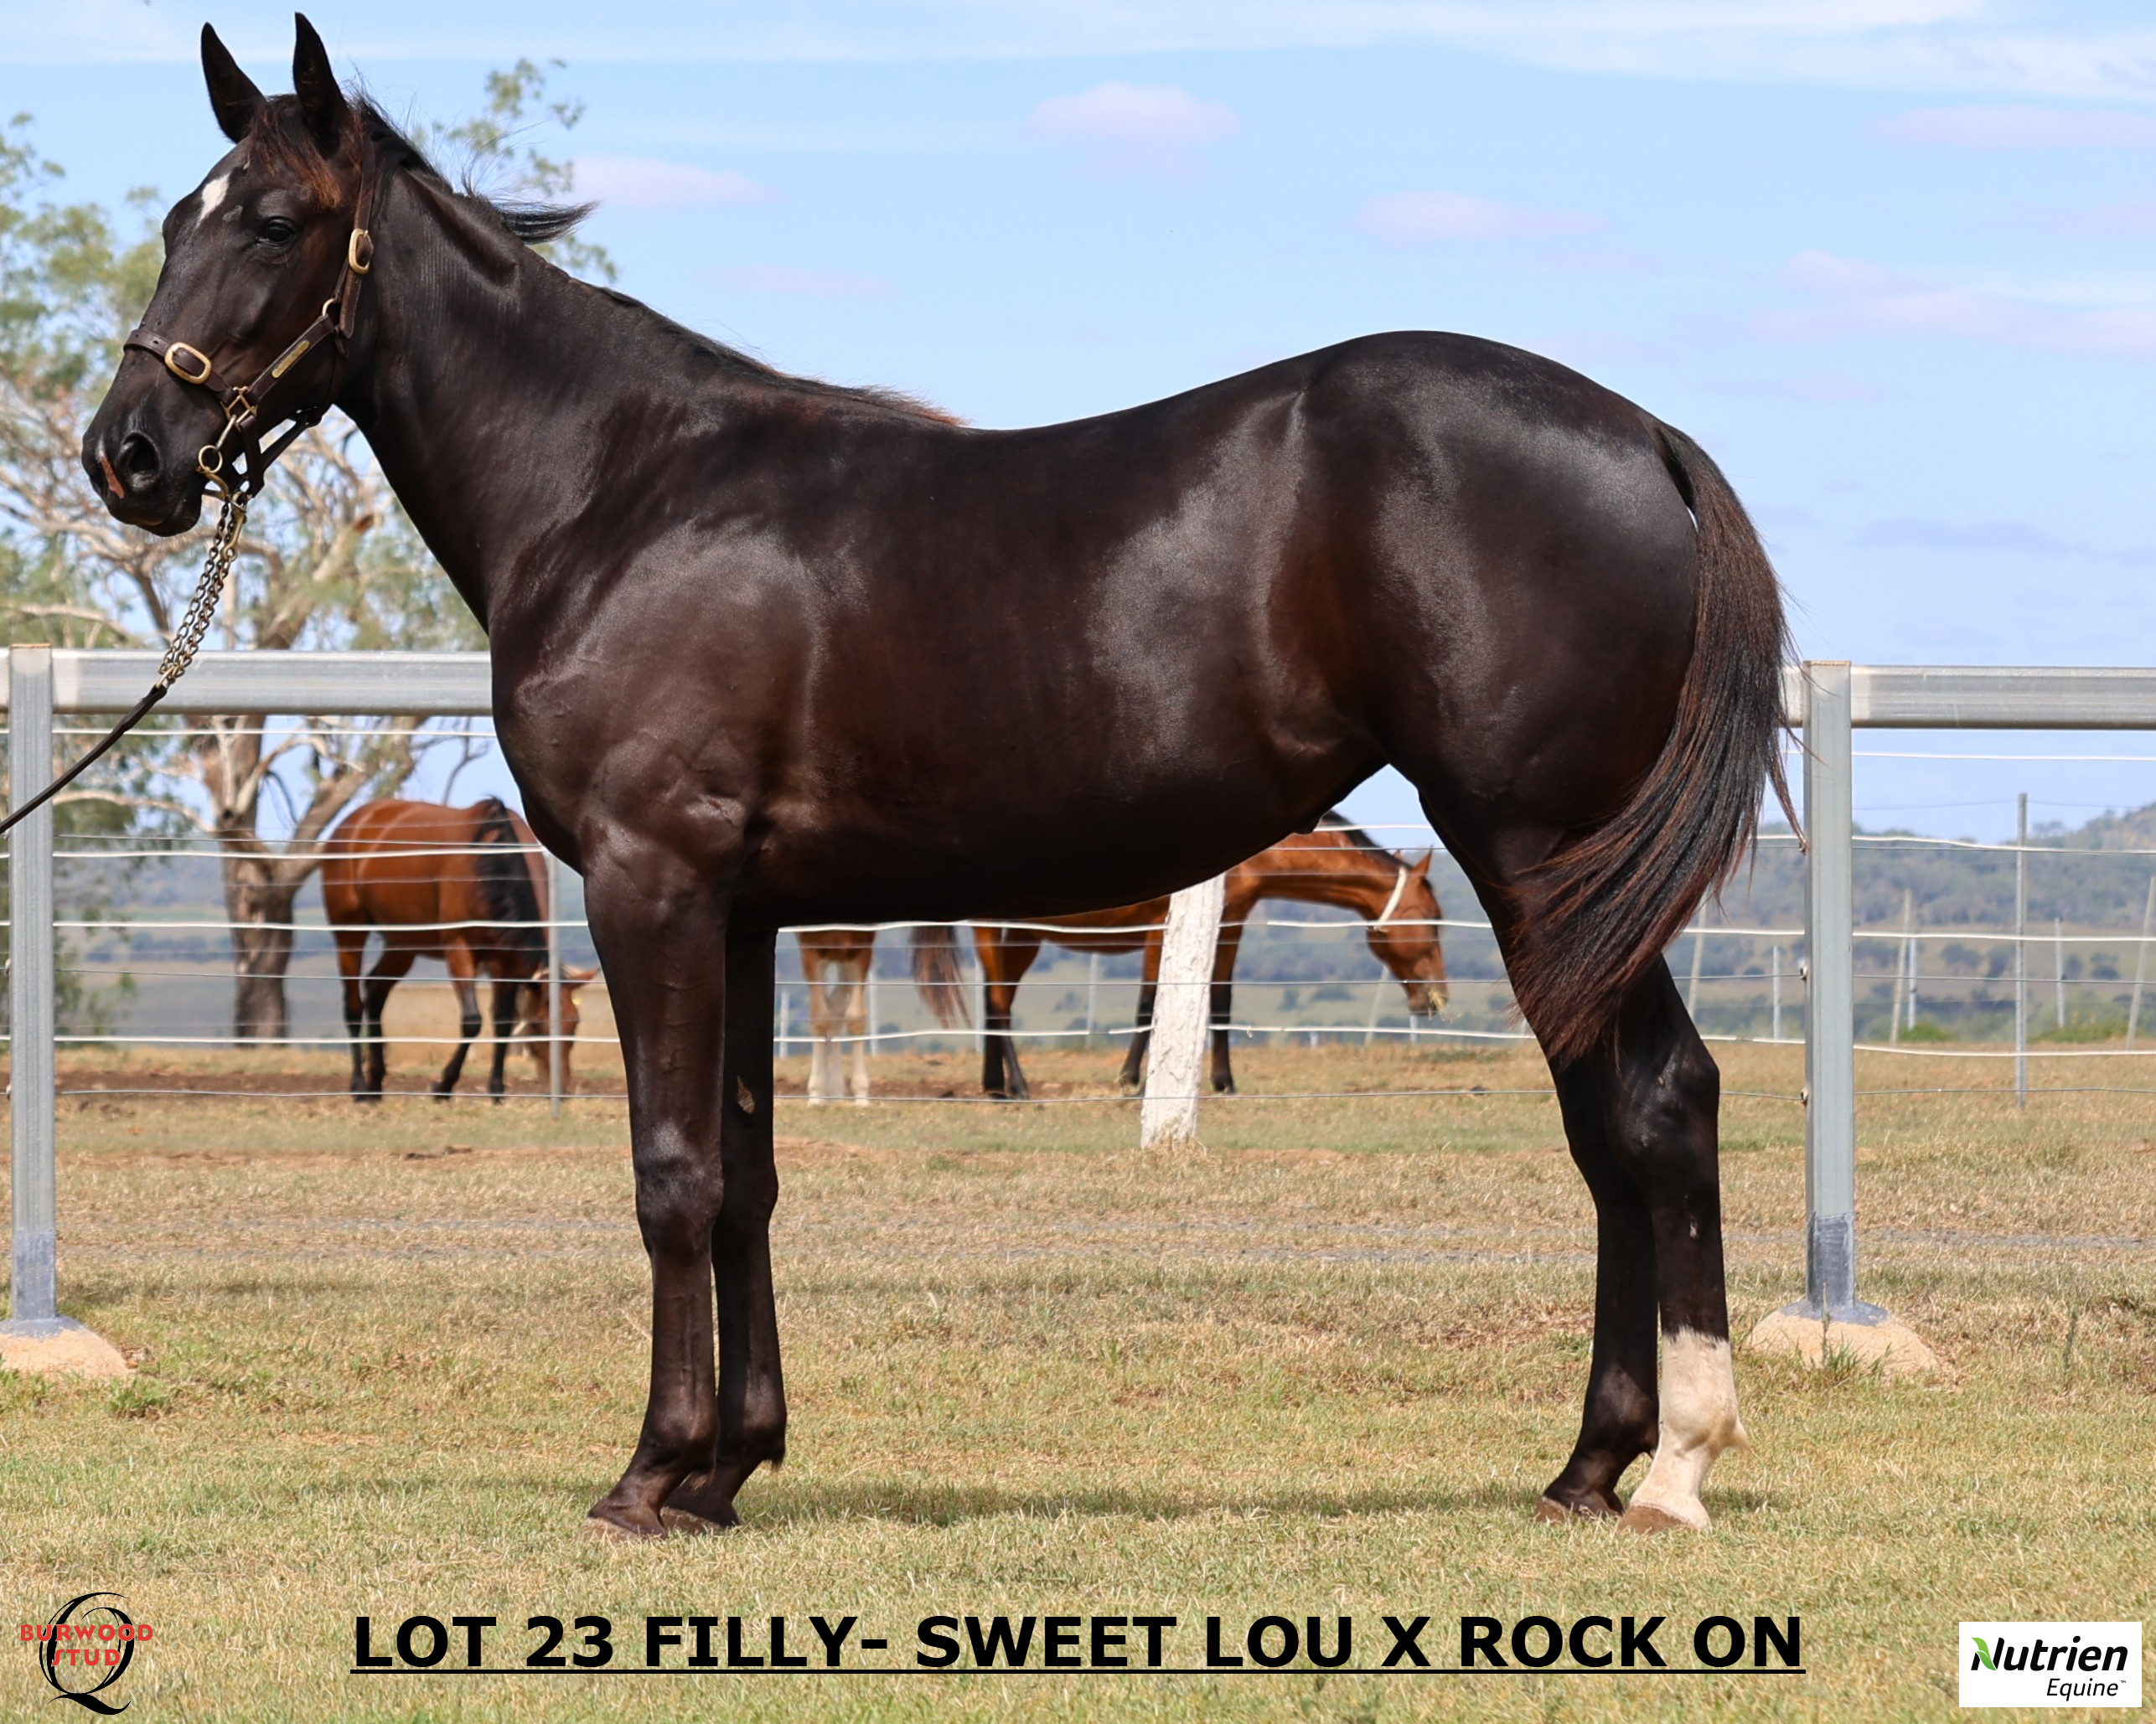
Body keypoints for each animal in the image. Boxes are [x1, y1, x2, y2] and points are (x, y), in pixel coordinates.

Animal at [322, 797, 592, 1100]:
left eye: (574, 1023)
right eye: (536, 1024)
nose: (562, 1089)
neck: (493, 865)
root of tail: (352, 822)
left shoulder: (507, 962)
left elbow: (503, 1020)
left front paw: (496, 1090)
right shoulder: (459, 950)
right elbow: (472, 1021)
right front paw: (443, 1086)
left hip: (403, 943)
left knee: (375, 992)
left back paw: (375, 1083)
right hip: (349, 933)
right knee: (354, 1005)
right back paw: (359, 1087)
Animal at [882, 817, 1447, 1099]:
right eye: (1432, 918)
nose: (1437, 999)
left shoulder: (1230, 927)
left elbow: (1220, 1003)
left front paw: (1224, 1081)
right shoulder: (1161, 933)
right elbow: (1148, 1003)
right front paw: (1131, 1080)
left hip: (1021, 937)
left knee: (994, 1000)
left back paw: (993, 1084)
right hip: (1000, 931)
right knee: (999, 1002)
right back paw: (1015, 1087)